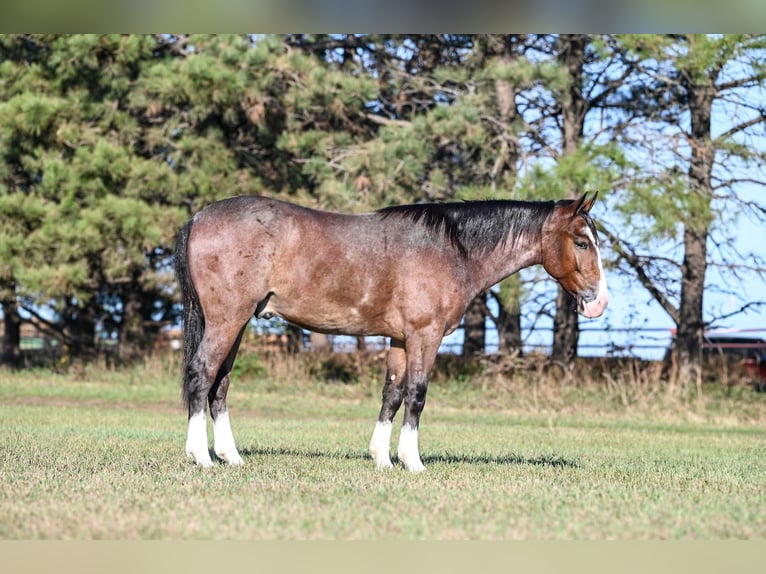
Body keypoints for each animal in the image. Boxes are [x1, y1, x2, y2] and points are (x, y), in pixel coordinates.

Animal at [174, 193, 609, 472]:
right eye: (582, 242)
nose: (599, 302)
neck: (451, 250)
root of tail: (198, 218)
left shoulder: (400, 338)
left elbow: (392, 394)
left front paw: (382, 459)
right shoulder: (424, 335)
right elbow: (416, 395)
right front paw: (413, 462)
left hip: (236, 323)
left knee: (220, 384)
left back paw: (231, 456)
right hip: (227, 319)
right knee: (202, 375)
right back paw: (201, 457)